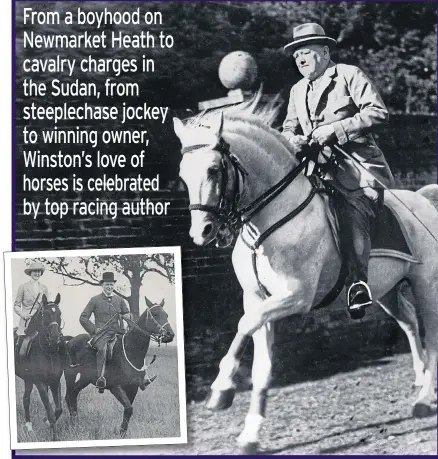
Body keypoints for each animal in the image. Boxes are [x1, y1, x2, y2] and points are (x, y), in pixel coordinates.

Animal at [13, 294, 66, 442]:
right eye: (46, 314)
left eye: (59, 313)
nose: (56, 337)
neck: (48, 352)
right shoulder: (40, 383)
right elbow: (50, 410)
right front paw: (54, 437)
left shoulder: (55, 382)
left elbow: (58, 409)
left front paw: (46, 422)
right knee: (26, 400)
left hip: (28, 380)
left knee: (26, 399)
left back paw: (29, 426)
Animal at [65, 298, 175, 438]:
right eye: (155, 314)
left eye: (166, 314)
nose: (170, 334)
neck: (129, 351)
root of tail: (71, 340)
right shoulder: (115, 387)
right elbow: (129, 409)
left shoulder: (133, 388)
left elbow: (128, 411)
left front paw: (123, 433)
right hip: (70, 375)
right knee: (69, 396)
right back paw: (73, 423)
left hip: (85, 378)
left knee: (73, 394)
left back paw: (75, 421)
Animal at [173, 96, 438, 452]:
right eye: (182, 174)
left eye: (214, 169)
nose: (201, 233)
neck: (270, 221)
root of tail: (423, 200)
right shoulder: (257, 300)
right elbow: (262, 364)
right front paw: (250, 434)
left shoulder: (295, 296)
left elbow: (243, 326)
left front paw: (221, 390)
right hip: (389, 291)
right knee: (409, 322)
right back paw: (420, 382)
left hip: (426, 286)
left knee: (431, 334)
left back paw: (424, 399)